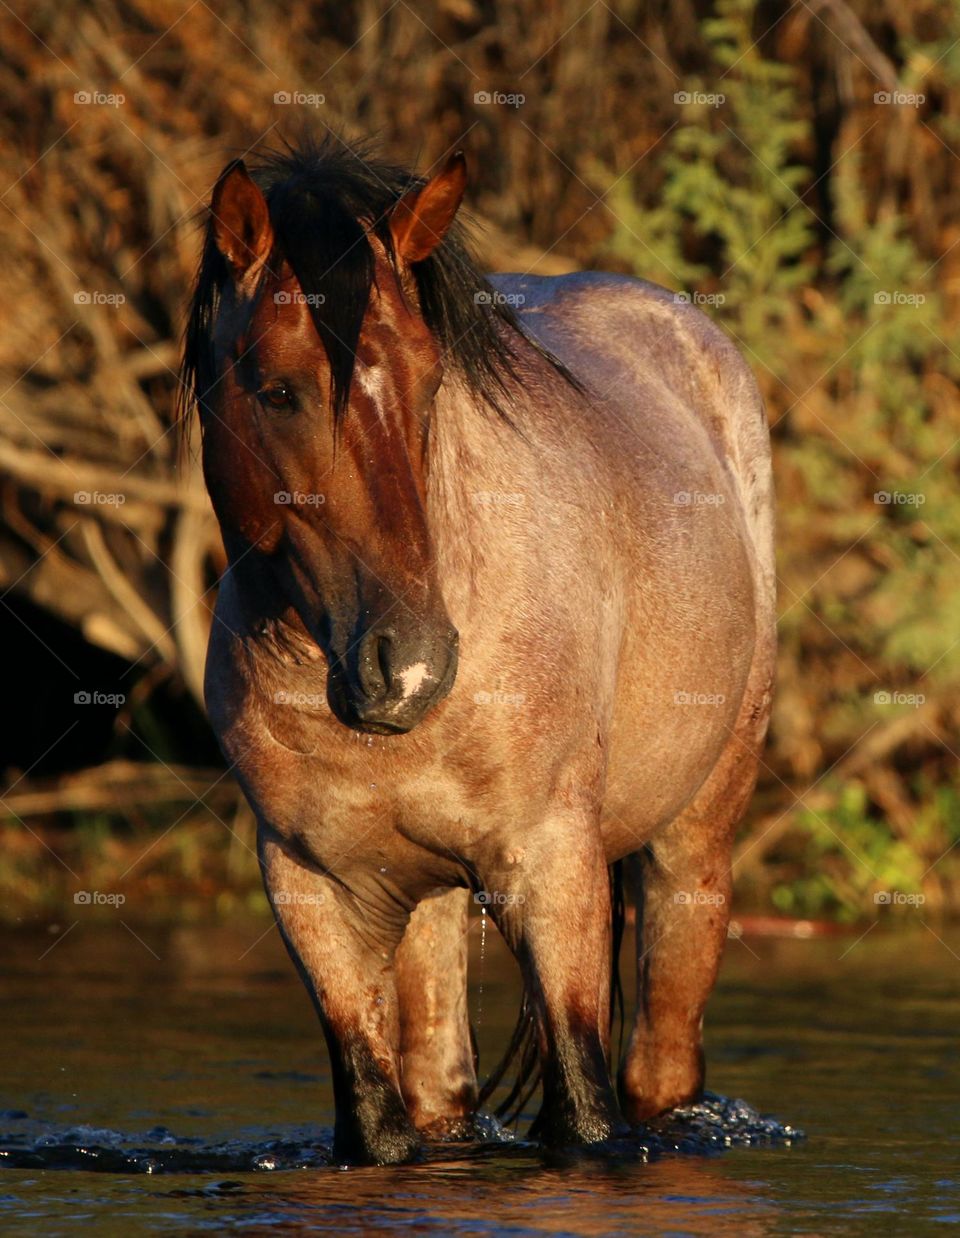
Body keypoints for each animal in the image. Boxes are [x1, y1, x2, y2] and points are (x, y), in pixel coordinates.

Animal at [180, 134, 776, 1166]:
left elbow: (586, 1116)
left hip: (692, 848)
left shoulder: (553, 871)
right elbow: (379, 1125)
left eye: (429, 382)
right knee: (438, 1083)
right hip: (429, 899)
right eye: (277, 390)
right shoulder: (311, 891)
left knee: (659, 1071)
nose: (408, 665)